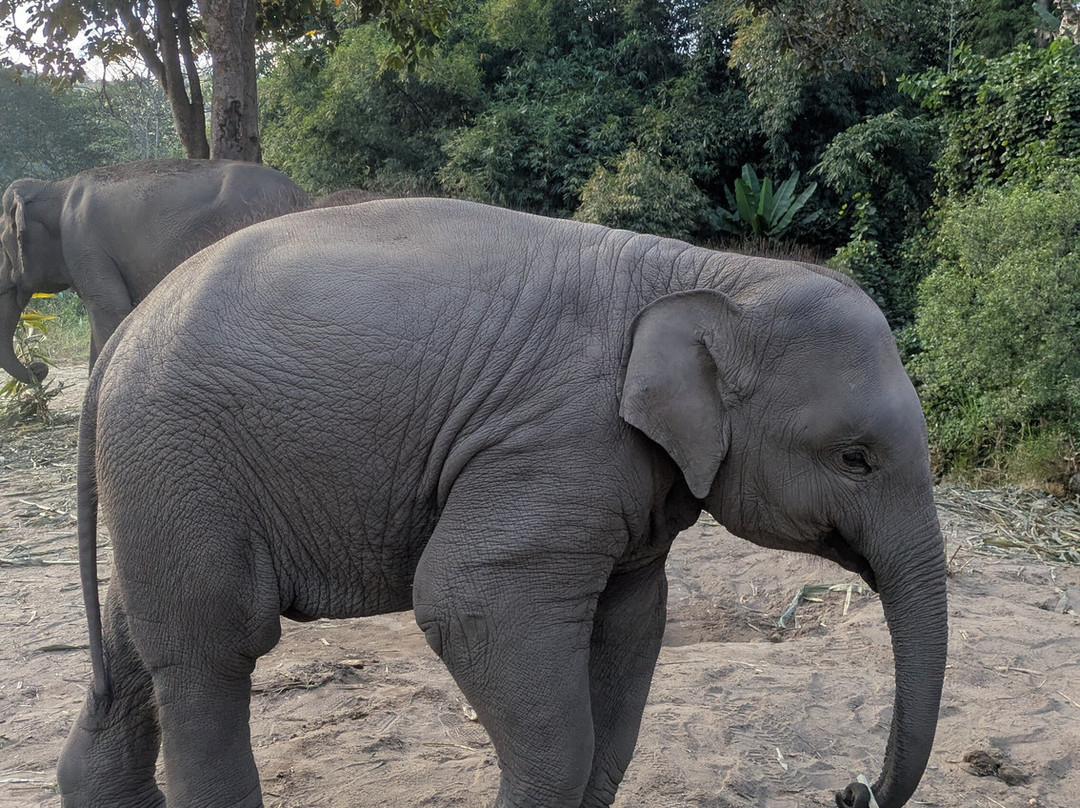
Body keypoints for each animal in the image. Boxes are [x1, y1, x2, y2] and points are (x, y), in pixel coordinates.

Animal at [0, 158, 310, 383]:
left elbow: (111, 309)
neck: (55, 188)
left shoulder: (84, 246)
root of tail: (301, 194)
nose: (39, 370)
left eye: (1, 244)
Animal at [57, 198, 947, 808]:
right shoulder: (558, 441)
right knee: (214, 646)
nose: (849, 789)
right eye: (856, 459)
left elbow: (630, 630)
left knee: (133, 636)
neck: (709, 272)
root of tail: (123, 337)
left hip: (163, 481)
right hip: (179, 455)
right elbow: (469, 599)